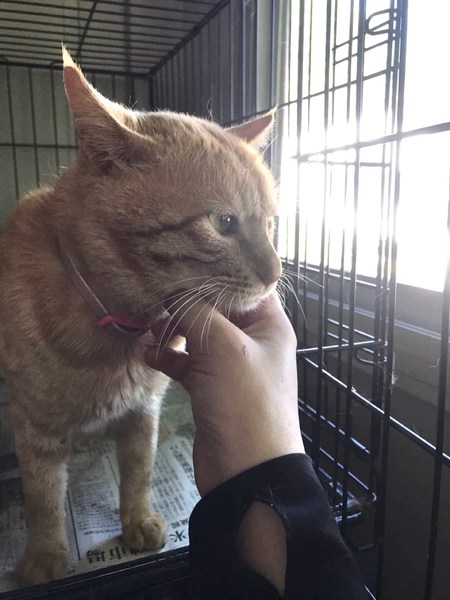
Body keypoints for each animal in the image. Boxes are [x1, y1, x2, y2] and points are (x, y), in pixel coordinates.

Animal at [0, 47, 281, 586]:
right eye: (224, 223)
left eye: (271, 223)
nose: (276, 274)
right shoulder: (32, 425)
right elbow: (42, 495)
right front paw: (45, 552)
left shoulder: (143, 411)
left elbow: (139, 467)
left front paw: (138, 519)